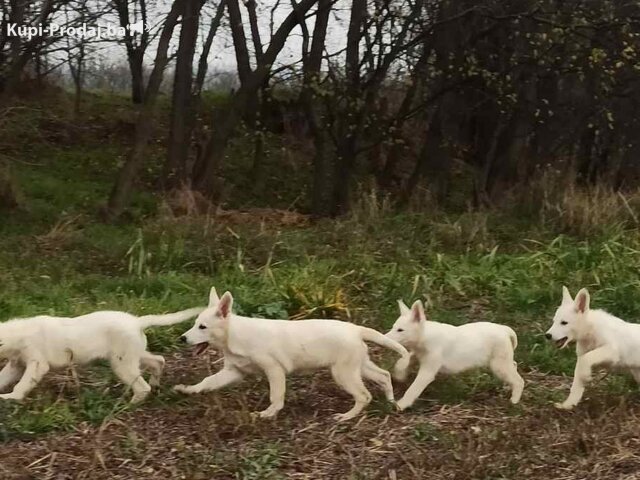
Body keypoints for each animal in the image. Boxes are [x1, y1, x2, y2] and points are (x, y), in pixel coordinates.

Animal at [0, 307, 203, 402]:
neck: (16, 334)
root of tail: (137, 321)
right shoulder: (16, 364)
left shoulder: (37, 363)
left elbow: (21, 384)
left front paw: (11, 398)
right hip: (133, 355)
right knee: (158, 361)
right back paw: (155, 384)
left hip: (122, 363)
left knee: (142, 386)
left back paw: (128, 404)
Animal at [174, 287, 410, 421]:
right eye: (195, 324)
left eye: (202, 327)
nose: (182, 339)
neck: (235, 334)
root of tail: (356, 329)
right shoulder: (234, 371)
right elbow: (207, 382)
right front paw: (187, 389)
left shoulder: (274, 370)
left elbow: (276, 396)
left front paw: (268, 414)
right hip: (358, 367)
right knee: (384, 376)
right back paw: (391, 402)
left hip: (343, 372)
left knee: (363, 395)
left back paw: (346, 417)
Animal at [385, 299, 524, 410]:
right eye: (393, 327)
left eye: (400, 330)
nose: (385, 337)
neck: (425, 336)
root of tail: (504, 329)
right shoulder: (419, 355)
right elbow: (405, 360)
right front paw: (399, 374)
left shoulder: (428, 371)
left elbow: (413, 388)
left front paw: (401, 404)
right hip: (502, 361)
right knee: (514, 365)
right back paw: (507, 388)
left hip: (498, 364)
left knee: (519, 380)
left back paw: (514, 401)